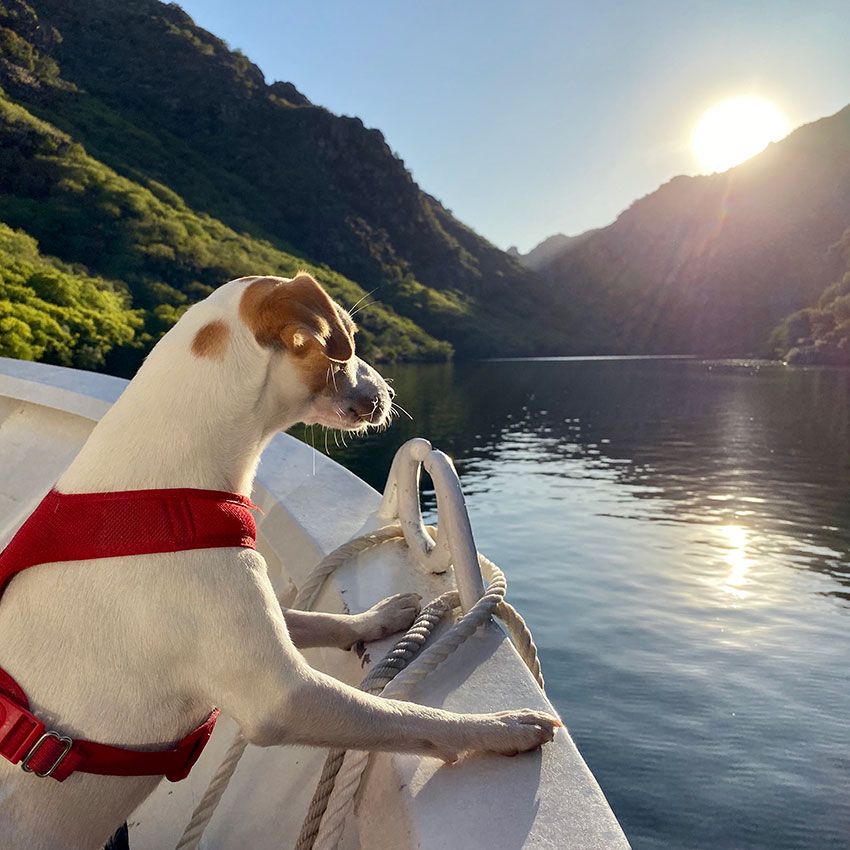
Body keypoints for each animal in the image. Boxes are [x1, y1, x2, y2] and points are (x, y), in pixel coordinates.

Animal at [0, 274, 560, 844]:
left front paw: (379, 617)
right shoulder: (283, 695)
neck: (160, 485)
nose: (389, 393)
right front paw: (499, 728)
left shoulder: (257, 622)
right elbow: (405, 716)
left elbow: (313, 620)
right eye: (347, 335)